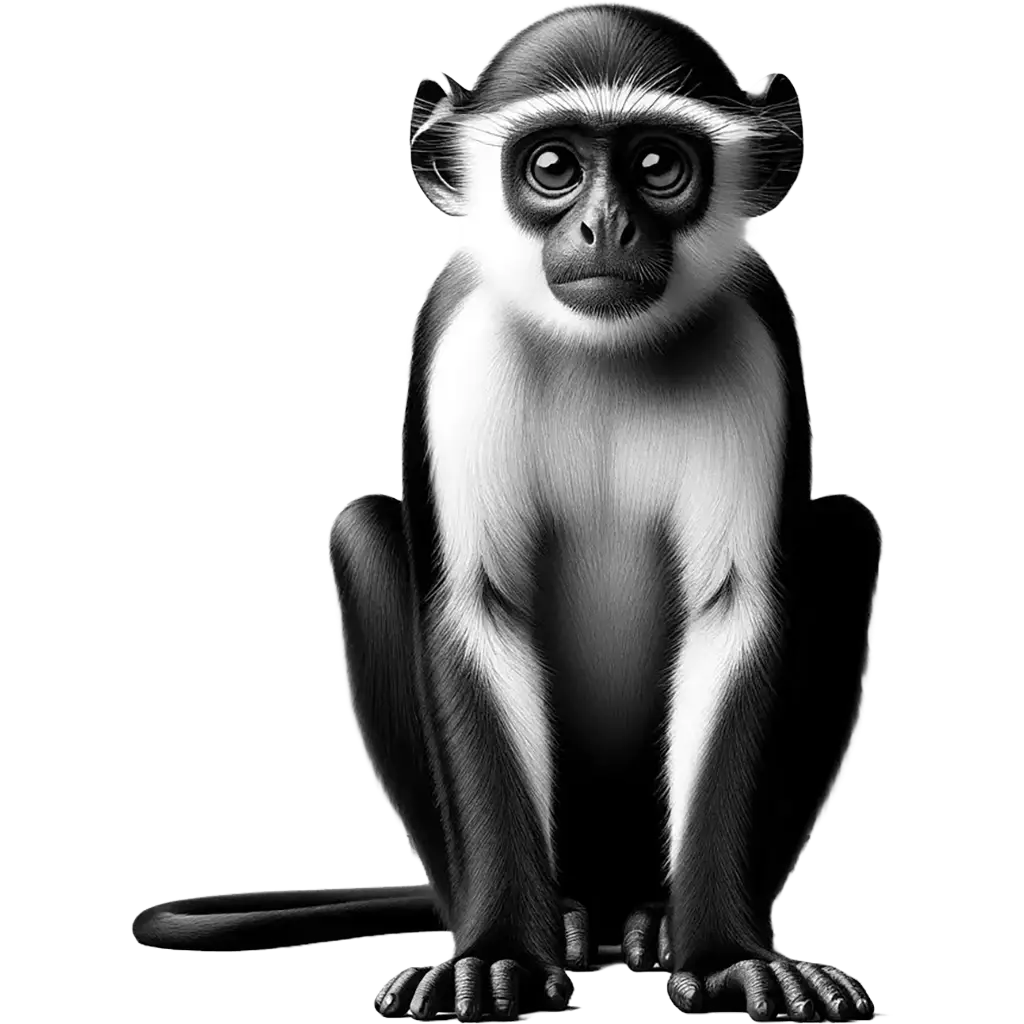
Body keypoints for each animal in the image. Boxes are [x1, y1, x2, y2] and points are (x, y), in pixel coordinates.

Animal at [132, 3, 884, 1020]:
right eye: (554, 165)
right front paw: (496, 956)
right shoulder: (458, 335)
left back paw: (655, 918)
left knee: (845, 535)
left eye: (657, 163)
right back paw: (559, 918)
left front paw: (731, 955)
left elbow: (737, 610)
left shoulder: (756, 330)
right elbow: (477, 609)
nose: (605, 225)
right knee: (367, 534)